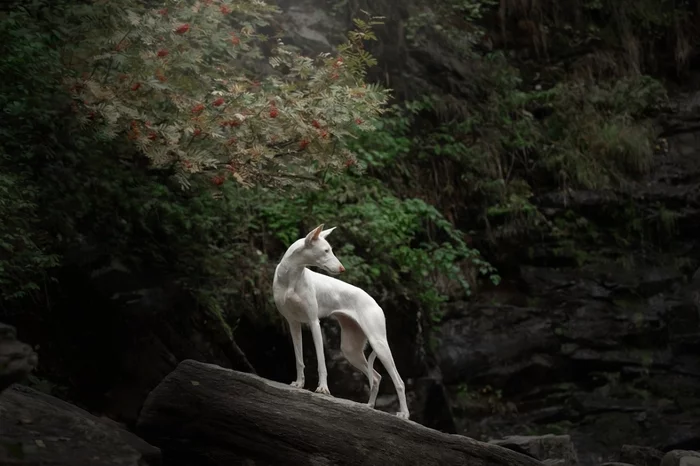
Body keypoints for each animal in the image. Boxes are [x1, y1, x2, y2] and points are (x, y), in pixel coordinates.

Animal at [270, 223, 408, 418]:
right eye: (326, 250)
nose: (343, 269)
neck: (291, 277)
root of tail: (376, 304)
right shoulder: (293, 323)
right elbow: (299, 359)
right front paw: (299, 384)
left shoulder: (314, 322)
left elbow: (321, 361)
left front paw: (323, 389)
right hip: (350, 349)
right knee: (376, 377)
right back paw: (369, 405)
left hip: (379, 343)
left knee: (399, 381)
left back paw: (404, 414)